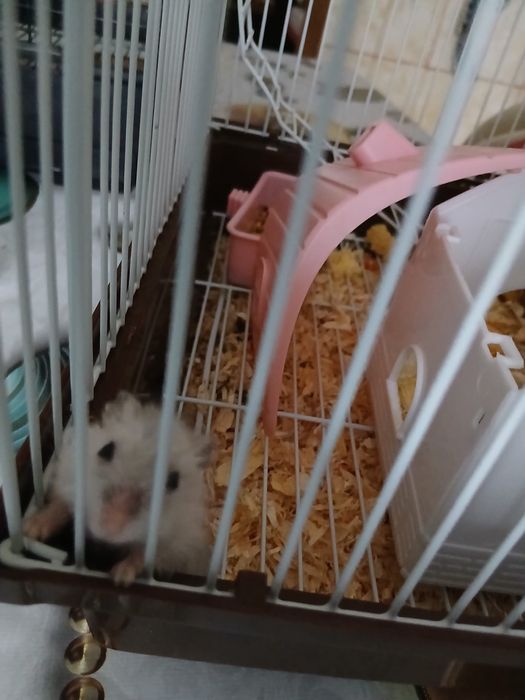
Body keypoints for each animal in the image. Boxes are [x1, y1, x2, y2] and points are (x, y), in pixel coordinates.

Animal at [23, 391, 212, 586]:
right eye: (106, 450)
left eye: (174, 480)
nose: (109, 529)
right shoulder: (67, 479)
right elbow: (58, 508)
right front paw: (30, 529)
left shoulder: (172, 543)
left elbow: (141, 555)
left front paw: (120, 578)